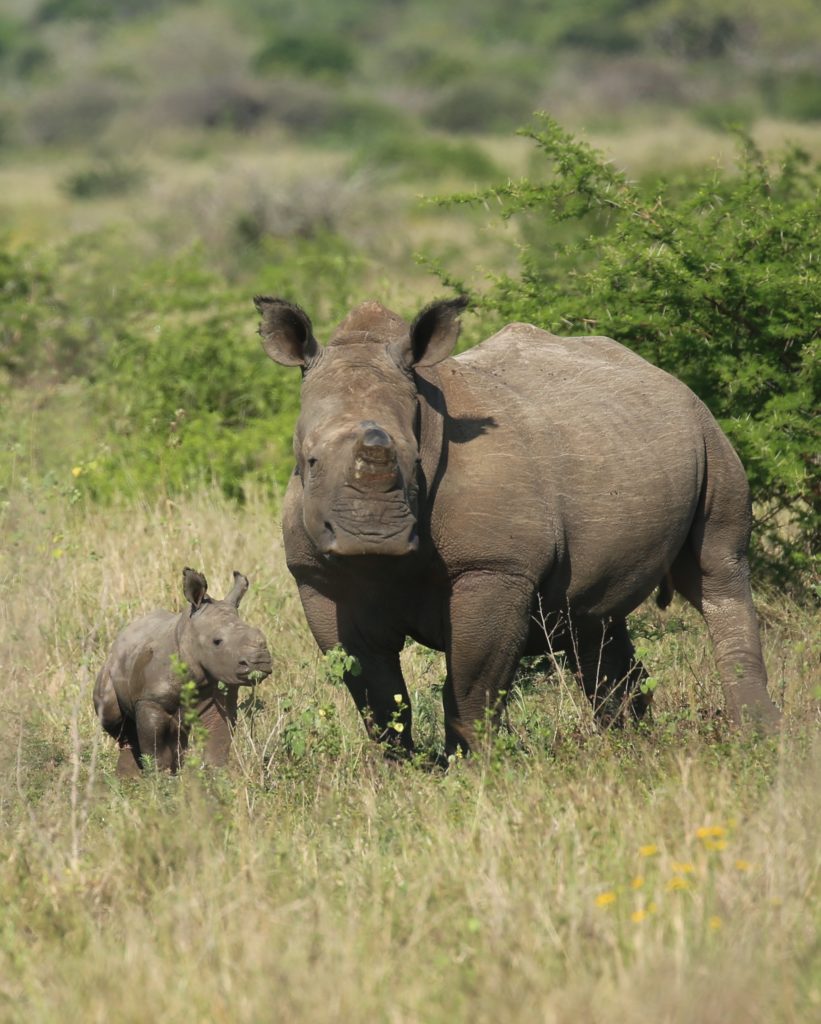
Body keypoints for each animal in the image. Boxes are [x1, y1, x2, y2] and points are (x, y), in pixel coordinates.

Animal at [92, 569, 272, 774]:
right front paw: (159, 778)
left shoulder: (218, 694)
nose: (260, 661)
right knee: (113, 718)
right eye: (217, 642)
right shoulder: (150, 700)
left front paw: (216, 776)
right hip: (110, 668)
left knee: (177, 732)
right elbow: (155, 747)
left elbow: (218, 739)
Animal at [252, 296, 778, 753]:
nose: (372, 537)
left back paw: (754, 739)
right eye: (311, 461)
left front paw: (472, 770)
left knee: (717, 570)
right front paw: (397, 774)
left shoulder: (494, 567)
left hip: (707, 431)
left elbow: (472, 685)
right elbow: (375, 694)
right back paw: (631, 744)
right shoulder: (317, 578)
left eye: (413, 461)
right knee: (595, 618)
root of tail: (663, 375)